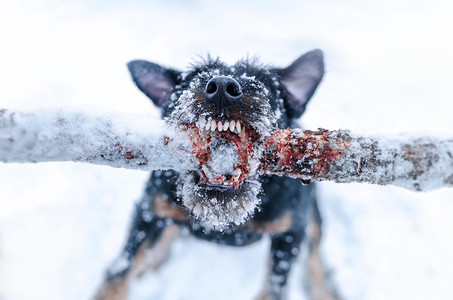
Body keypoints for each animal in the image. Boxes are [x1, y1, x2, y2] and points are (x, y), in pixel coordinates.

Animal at [94, 49, 336, 300]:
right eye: (193, 78)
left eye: (264, 83)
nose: (221, 87)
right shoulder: (149, 211)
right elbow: (121, 269)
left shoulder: (290, 233)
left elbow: (275, 286)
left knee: (315, 252)